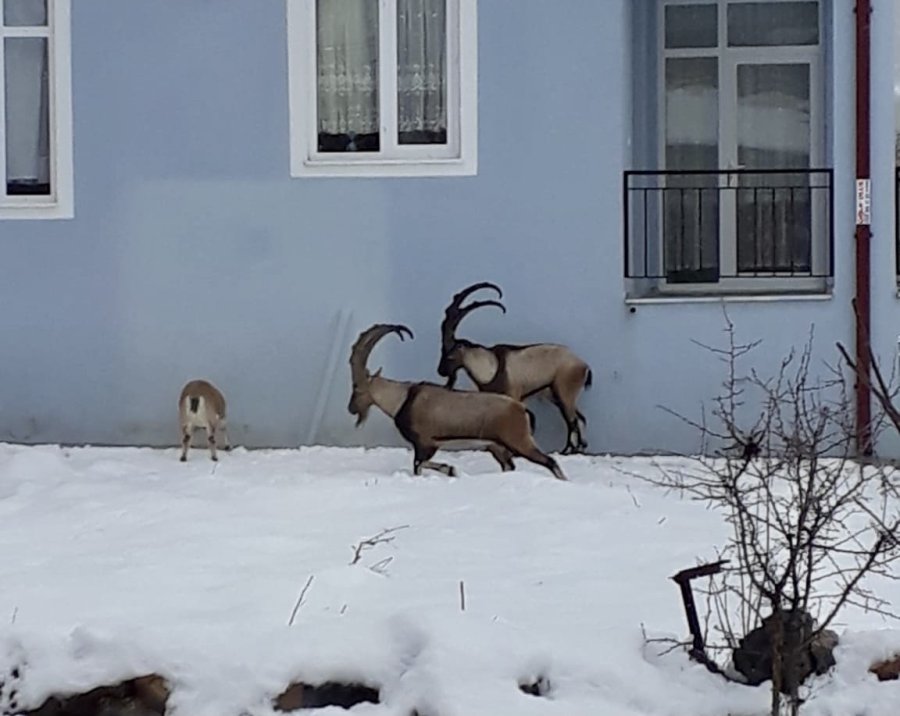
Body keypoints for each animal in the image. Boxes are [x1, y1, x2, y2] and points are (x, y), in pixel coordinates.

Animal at [348, 324, 568, 482]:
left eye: (357, 388)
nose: (351, 408)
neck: (403, 398)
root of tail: (521, 409)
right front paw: (451, 470)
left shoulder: (425, 443)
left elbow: (418, 466)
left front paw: (451, 470)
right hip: (498, 447)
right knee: (510, 466)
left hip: (519, 441)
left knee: (550, 461)